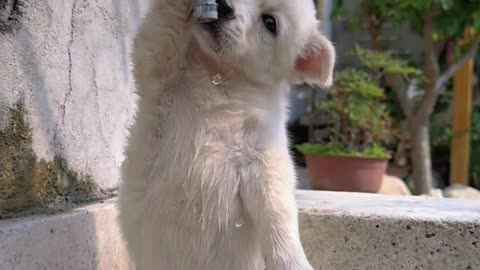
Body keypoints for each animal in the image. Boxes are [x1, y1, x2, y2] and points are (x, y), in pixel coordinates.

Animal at [118, 1, 336, 268]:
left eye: (270, 23)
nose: (223, 7)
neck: (220, 79)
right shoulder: (159, 68)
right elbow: (162, 29)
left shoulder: (262, 156)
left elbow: (277, 210)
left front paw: (292, 261)